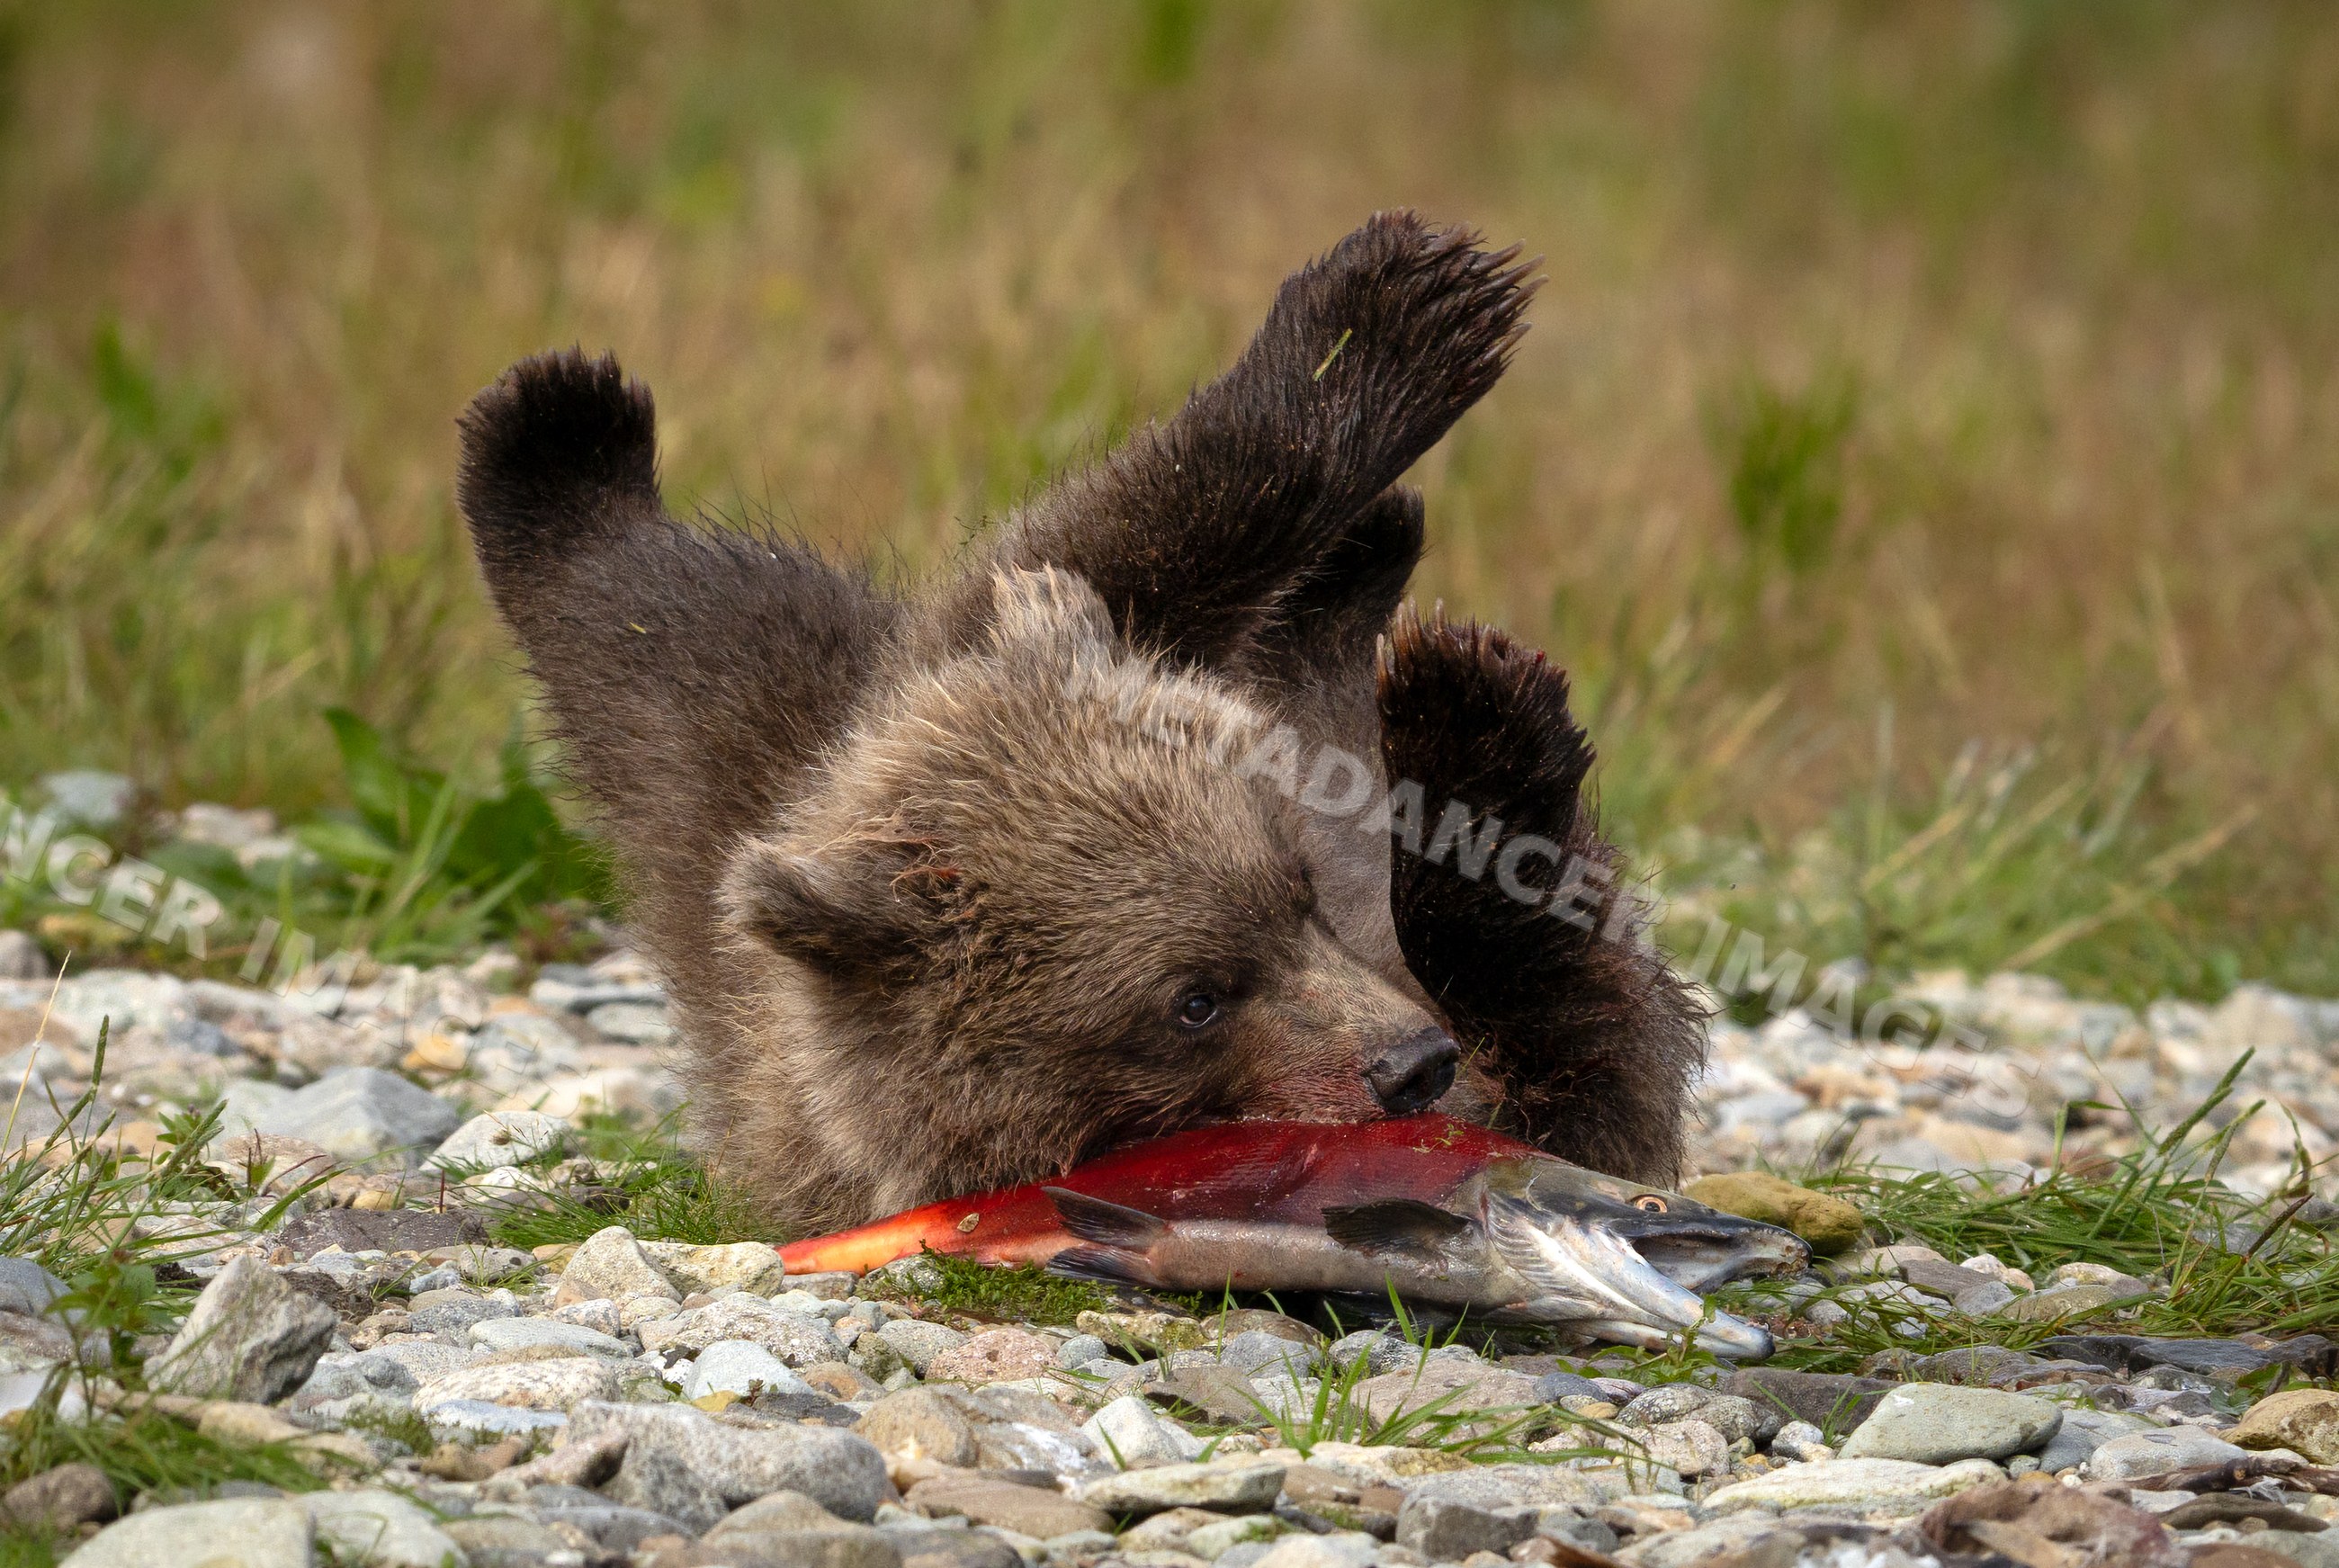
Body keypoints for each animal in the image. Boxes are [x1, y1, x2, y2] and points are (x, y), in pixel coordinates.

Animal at [456, 211, 1704, 1233]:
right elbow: (1589, 1032)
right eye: (1192, 1000)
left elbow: (1107, 539)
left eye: (1294, 892)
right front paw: (1471, 720)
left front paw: (1388, 323)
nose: (1407, 1064)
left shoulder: (907, 687)